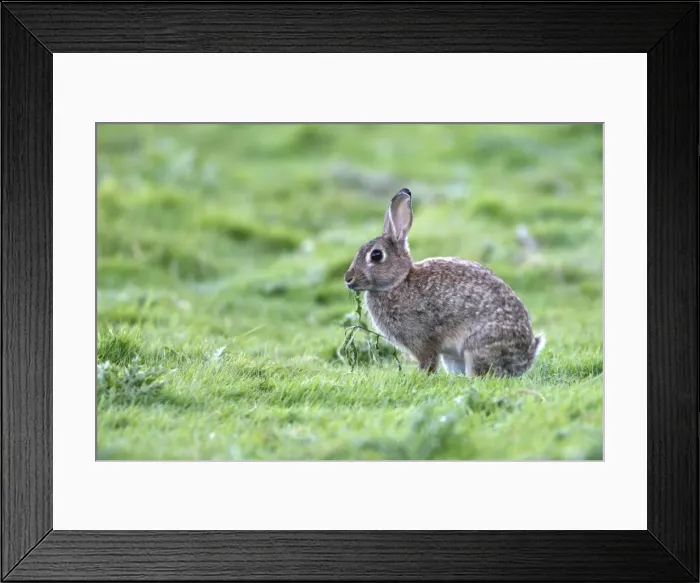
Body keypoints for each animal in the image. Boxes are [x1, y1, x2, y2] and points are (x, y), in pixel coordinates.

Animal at [343, 187, 545, 377]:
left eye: (376, 255)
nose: (348, 279)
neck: (398, 282)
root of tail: (526, 357)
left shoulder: (421, 339)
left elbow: (428, 362)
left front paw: (421, 376)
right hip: (453, 359)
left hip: (477, 347)